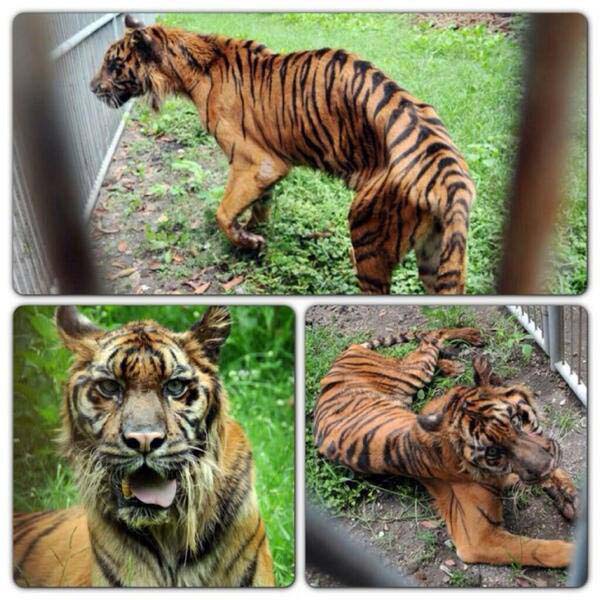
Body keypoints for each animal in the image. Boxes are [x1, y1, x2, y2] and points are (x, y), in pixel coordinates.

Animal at [90, 15, 474, 294]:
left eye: (112, 64)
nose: (92, 88)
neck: (193, 67)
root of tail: (450, 176)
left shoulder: (256, 162)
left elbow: (223, 212)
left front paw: (249, 242)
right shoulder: (263, 171)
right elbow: (258, 205)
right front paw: (255, 238)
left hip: (368, 233)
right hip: (438, 255)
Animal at [316, 328, 580, 568]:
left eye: (515, 419)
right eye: (493, 452)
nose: (544, 467)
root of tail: (342, 356)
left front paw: (565, 491)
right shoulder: (477, 538)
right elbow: (539, 550)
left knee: (430, 336)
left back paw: (463, 347)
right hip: (410, 373)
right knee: (428, 339)